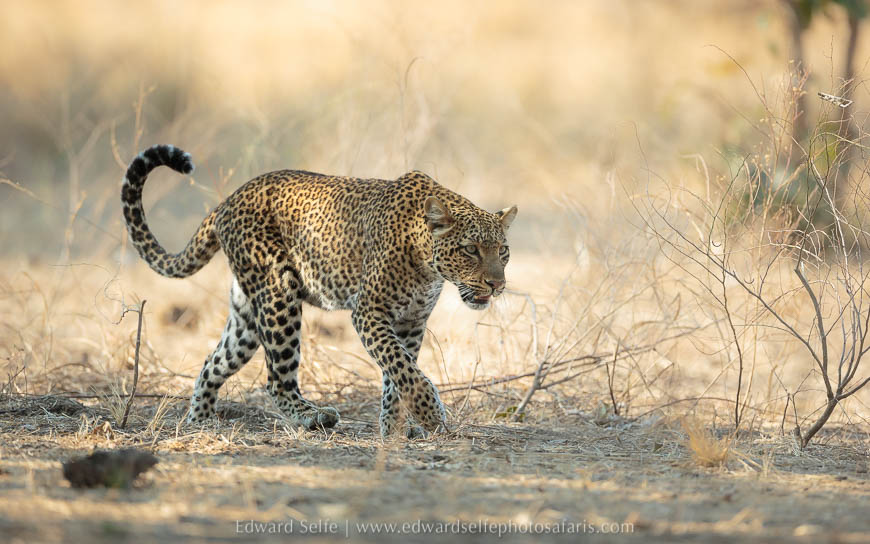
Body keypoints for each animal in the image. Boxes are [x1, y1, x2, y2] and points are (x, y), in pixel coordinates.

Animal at [121, 144, 517, 438]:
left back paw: (200, 421)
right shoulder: (370, 312)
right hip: (278, 293)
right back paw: (313, 416)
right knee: (276, 380)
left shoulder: (411, 321)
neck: (426, 264)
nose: (496, 285)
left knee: (213, 362)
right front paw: (430, 414)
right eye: (470, 250)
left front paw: (394, 425)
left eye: (503, 251)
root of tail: (228, 200)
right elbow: (401, 366)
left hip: (247, 314)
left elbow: (398, 371)